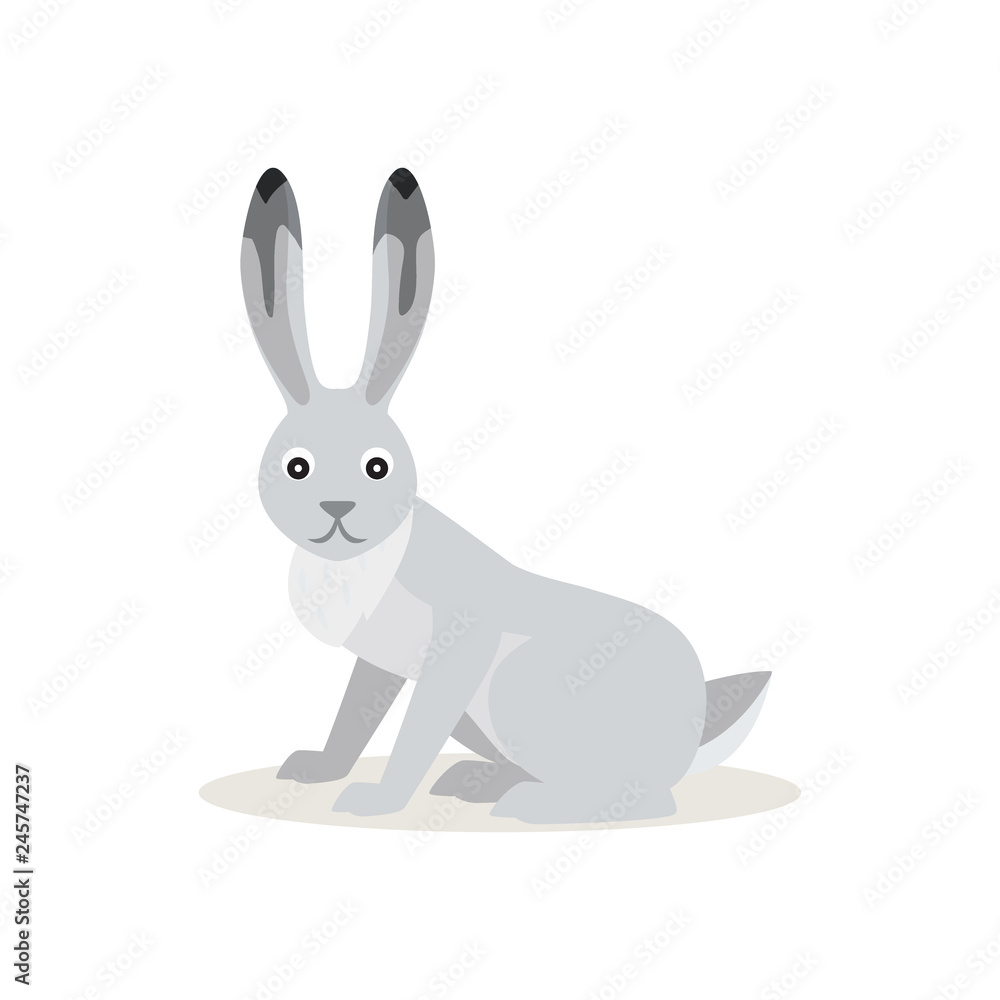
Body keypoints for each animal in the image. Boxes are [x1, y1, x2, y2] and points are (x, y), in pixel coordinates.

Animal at [239, 166, 772, 823]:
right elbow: (354, 719)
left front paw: (377, 800)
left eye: (377, 467)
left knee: (644, 797)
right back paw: (477, 782)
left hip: (515, 686)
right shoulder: (382, 666)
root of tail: (694, 731)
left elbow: (414, 734)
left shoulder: (459, 644)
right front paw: (317, 769)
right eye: (296, 467)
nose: (337, 510)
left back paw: (527, 804)